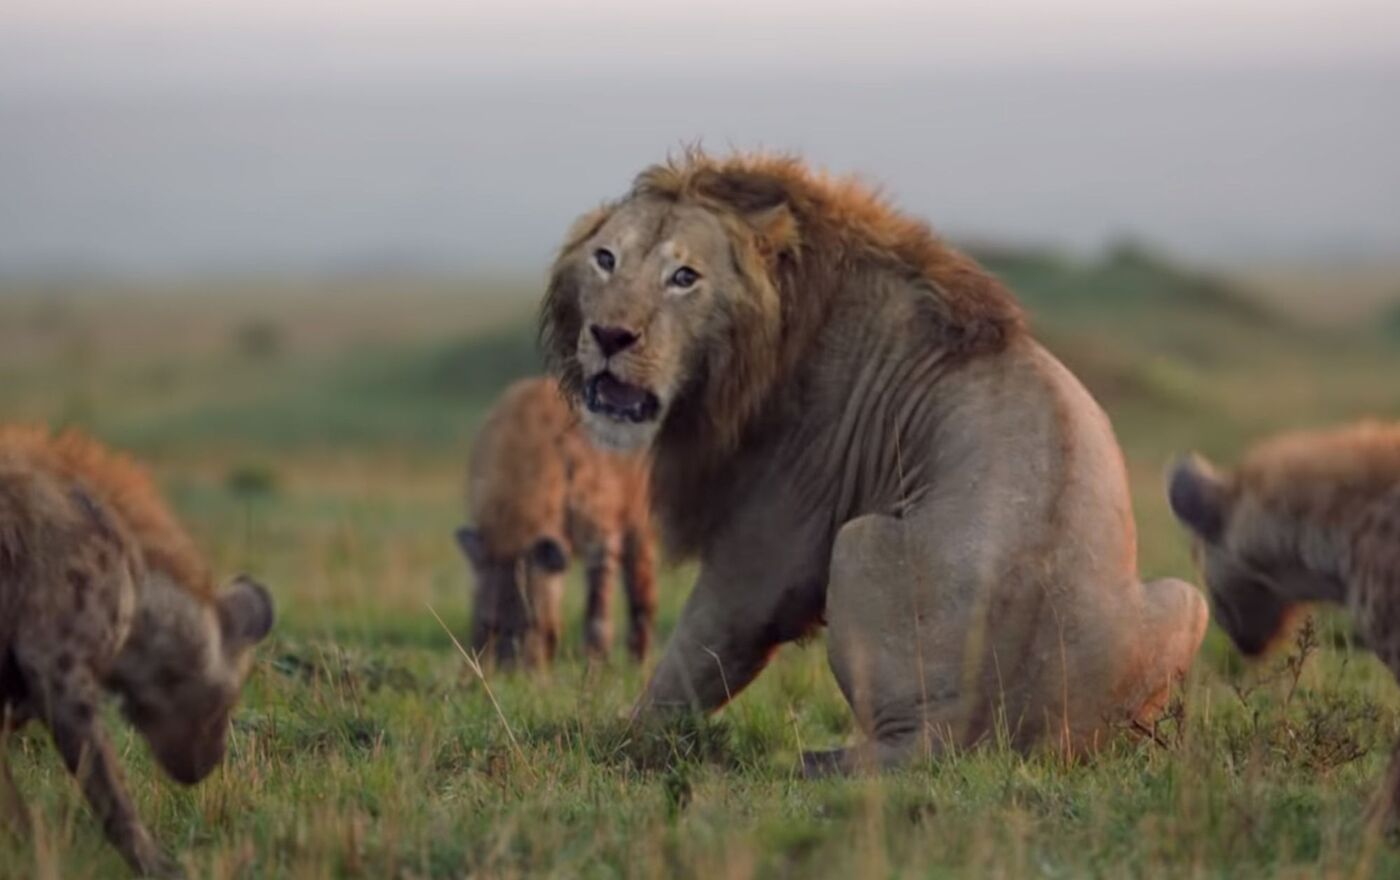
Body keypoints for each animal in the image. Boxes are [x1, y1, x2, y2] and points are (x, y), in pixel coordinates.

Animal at [456, 374, 658, 665]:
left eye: (533, 624)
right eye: (488, 625)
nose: (510, 672)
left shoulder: (600, 526)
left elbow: (598, 605)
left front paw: (594, 664)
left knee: (642, 590)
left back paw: (638, 661)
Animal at [540, 154, 1209, 772]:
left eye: (684, 277)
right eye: (606, 259)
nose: (610, 335)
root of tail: (971, 728)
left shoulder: (771, 543)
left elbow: (698, 652)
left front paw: (607, 738)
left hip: (857, 539)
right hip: (1187, 600)